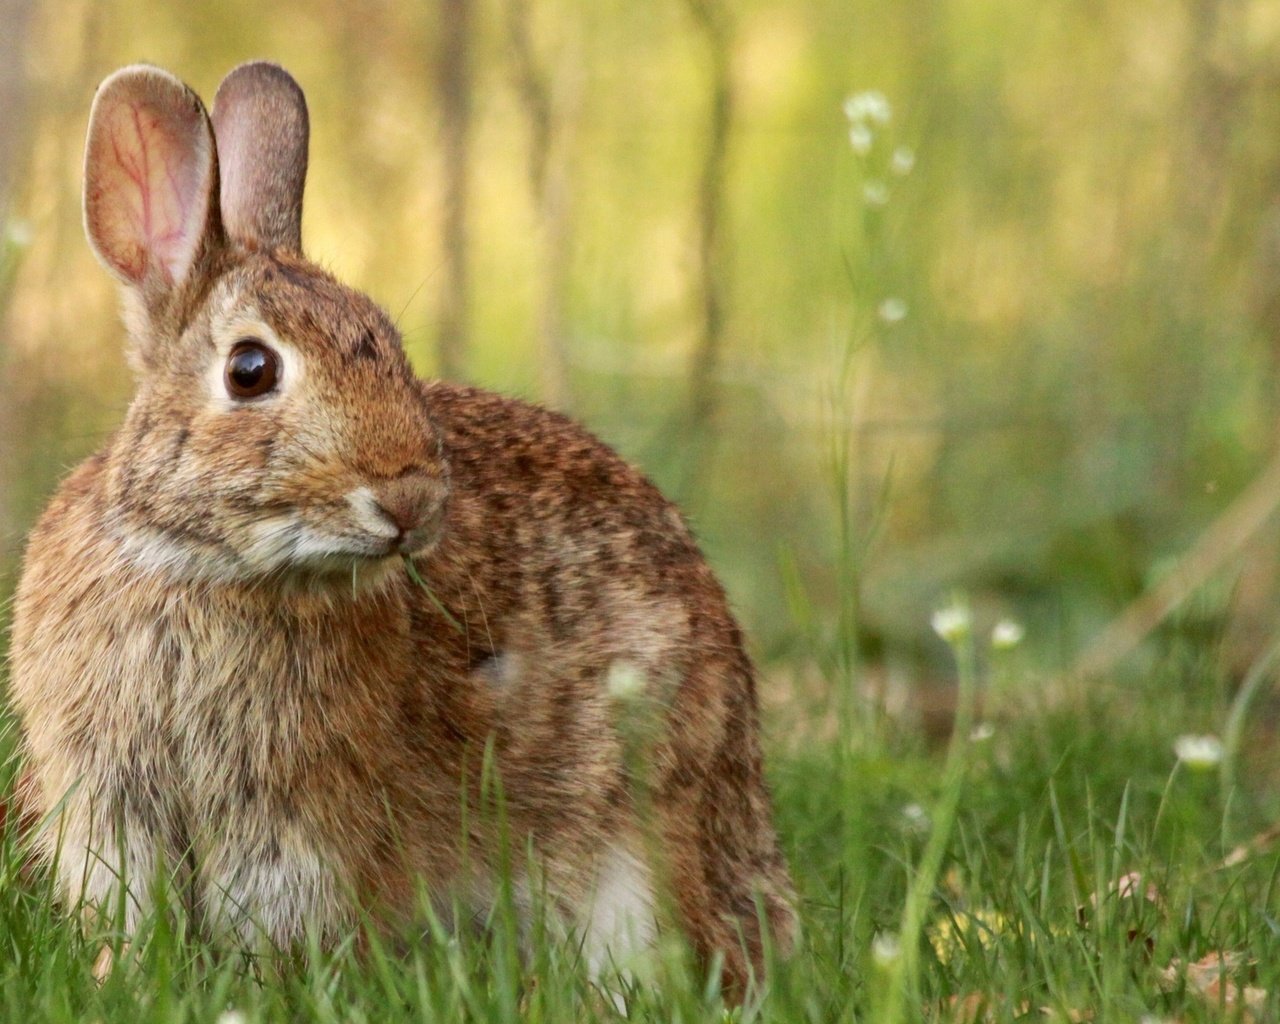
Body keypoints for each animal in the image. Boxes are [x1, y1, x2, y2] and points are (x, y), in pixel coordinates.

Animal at [5, 60, 793, 998]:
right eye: (249, 370)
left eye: (388, 341)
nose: (411, 498)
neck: (201, 565)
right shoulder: (109, 806)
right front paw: (120, 978)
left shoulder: (293, 825)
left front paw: (264, 990)